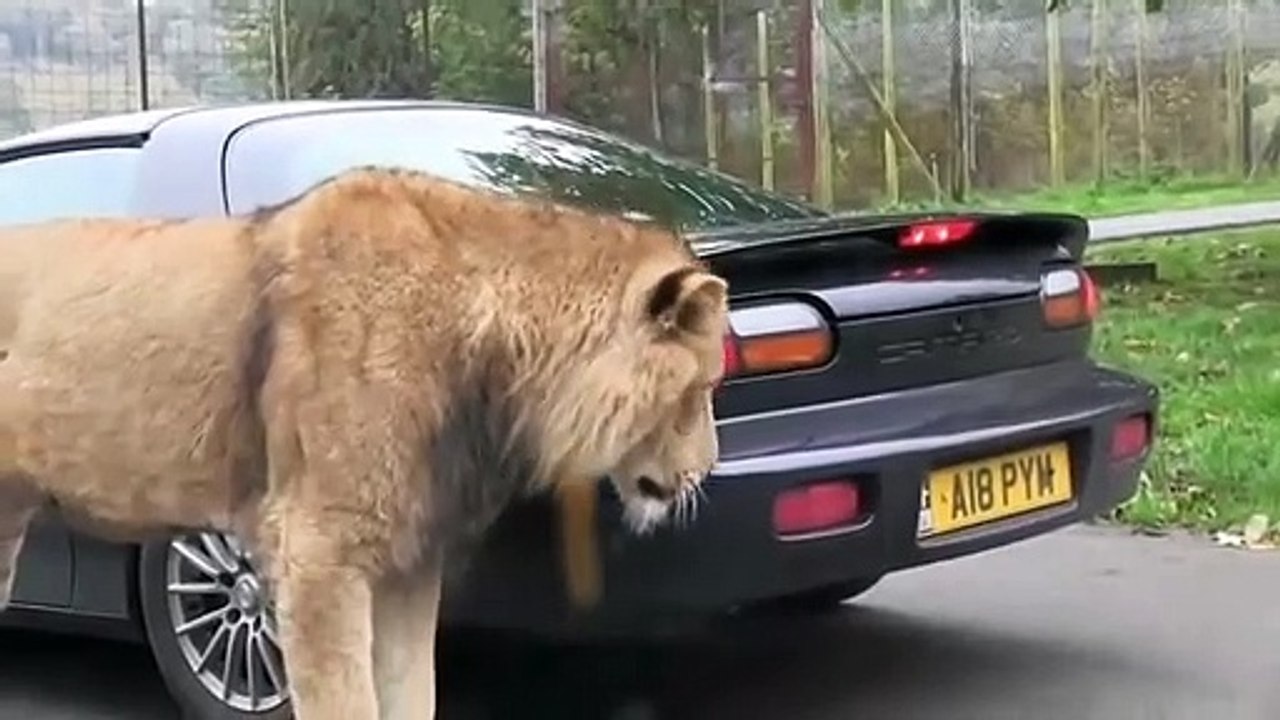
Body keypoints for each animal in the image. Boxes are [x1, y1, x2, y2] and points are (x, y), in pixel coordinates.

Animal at [0, 166, 729, 720]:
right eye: (700, 388)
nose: (706, 472)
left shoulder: (408, 562)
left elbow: (413, 696)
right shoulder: (319, 555)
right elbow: (346, 704)